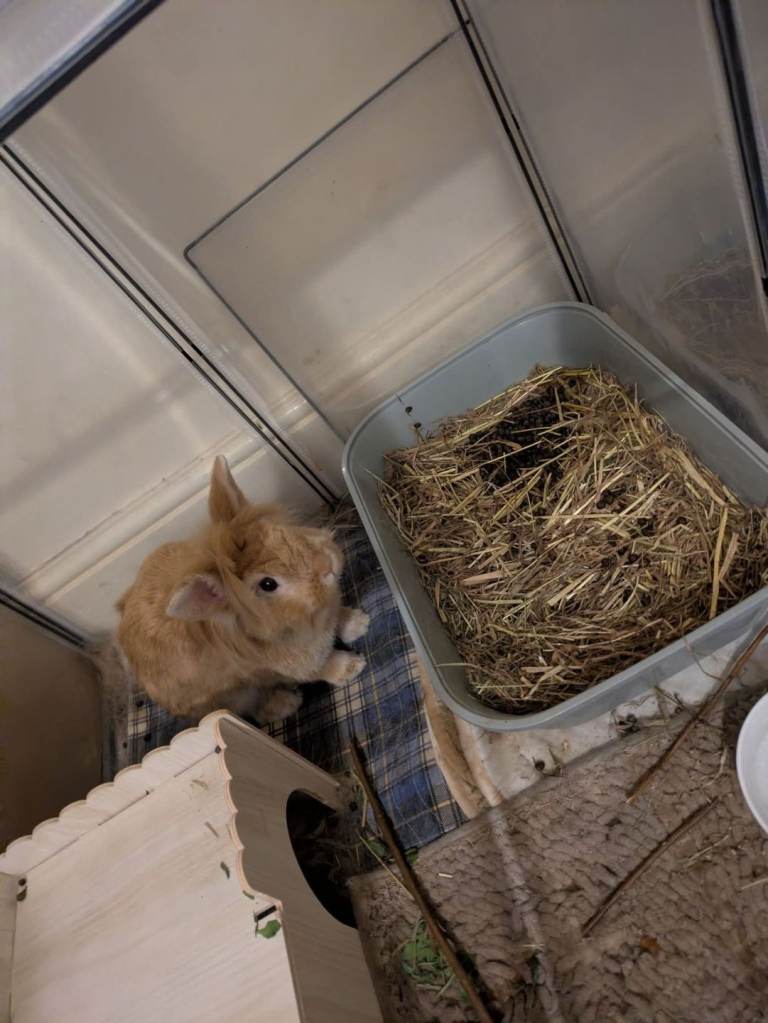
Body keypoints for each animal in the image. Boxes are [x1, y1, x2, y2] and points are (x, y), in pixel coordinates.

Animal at [115, 455, 369, 721]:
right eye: (268, 584)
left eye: (275, 530)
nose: (327, 564)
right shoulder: (290, 666)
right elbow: (321, 669)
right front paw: (351, 666)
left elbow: (338, 616)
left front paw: (358, 622)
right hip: (237, 697)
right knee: (256, 709)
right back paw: (286, 703)